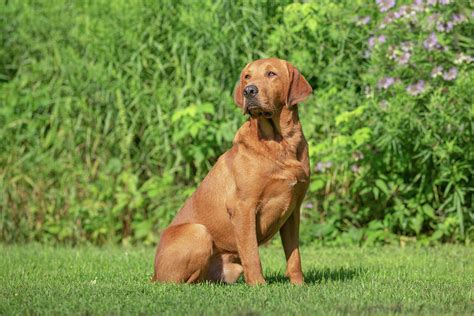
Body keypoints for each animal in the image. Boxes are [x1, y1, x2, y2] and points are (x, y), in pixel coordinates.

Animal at [154, 58, 312, 286]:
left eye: (271, 74)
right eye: (247, 76)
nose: (249, 91)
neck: (280, 143)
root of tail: (153, 273)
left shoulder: (293, 210)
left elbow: (294, 256)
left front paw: (298, 284)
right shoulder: (243, 208)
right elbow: (252, 253)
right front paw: (259, 285)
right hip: (199, 231)